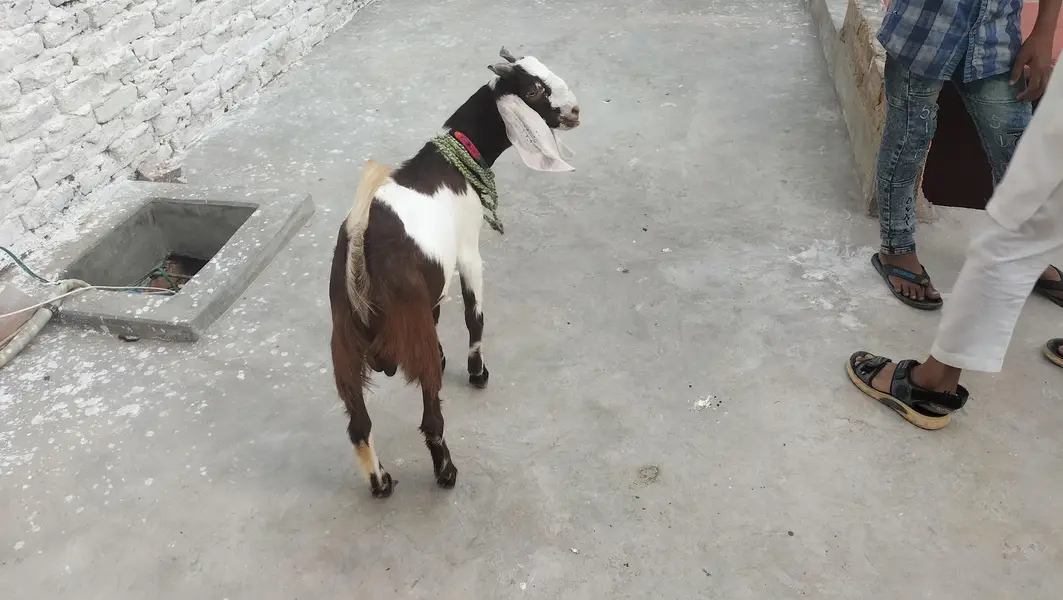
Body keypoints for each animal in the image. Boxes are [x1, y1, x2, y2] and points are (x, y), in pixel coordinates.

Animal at [329, 48, 580, 498]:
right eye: (534, 90)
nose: (574, 112)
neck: (453, 162)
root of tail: (361, 249)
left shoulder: (434, 284)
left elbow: (442, 315)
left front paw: (450, 359)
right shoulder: (467, 253)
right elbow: (473, 316)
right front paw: (477, 372)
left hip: (345, 345)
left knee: (359, 426)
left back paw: (381, 483)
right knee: (431, 419)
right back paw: (446, 472)